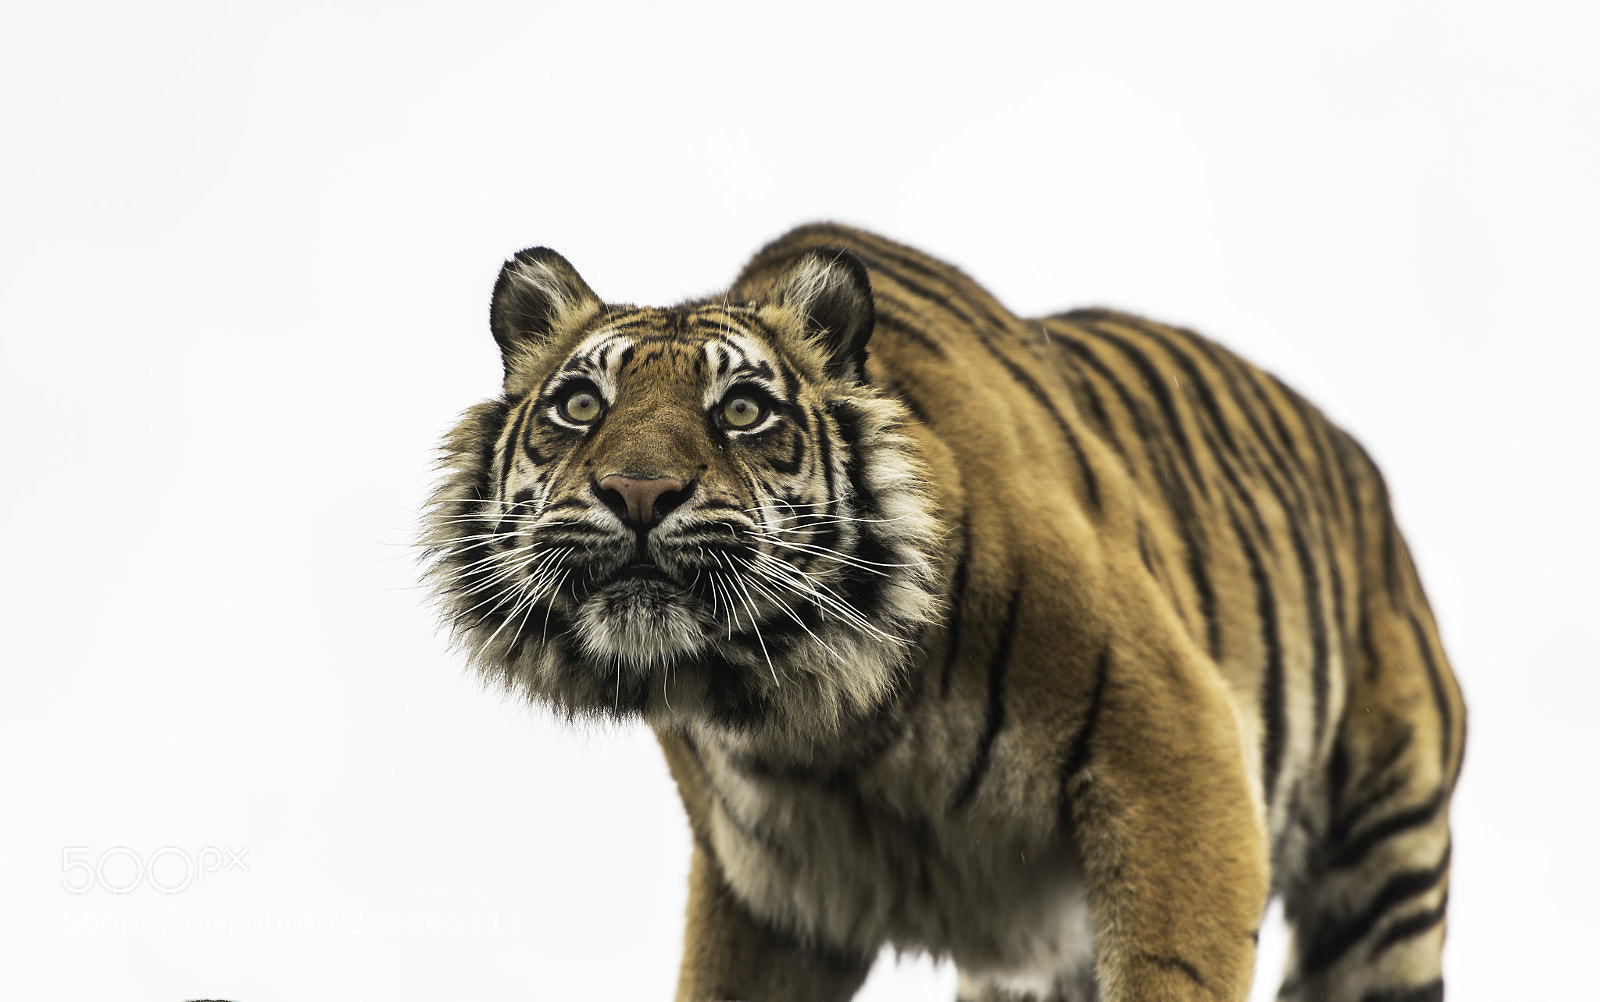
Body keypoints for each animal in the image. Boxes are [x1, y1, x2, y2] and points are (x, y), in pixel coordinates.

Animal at [421, 223, 1465, 1002]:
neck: (817, 708)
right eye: (579, 404)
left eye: (744, 411)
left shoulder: (1177, 751)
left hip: (1388, 874)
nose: (638, 492)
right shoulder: (767, 892)